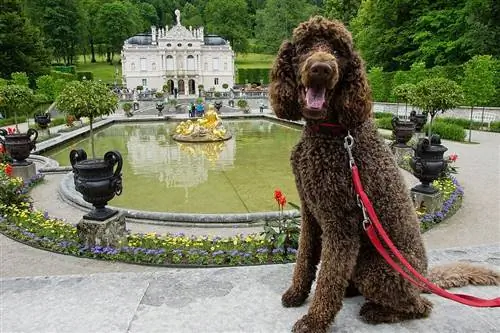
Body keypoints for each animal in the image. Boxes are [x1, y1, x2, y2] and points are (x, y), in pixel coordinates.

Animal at [270, 16, 500, 332]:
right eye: (304, 46)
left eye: (339, 50)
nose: (321, 68)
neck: (332, 132)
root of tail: (422, 278)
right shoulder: (310, 212)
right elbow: (304, 257)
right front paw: (296, 293)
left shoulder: (340, 224)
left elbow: (329, 277)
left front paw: (315, 319)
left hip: (374, 267)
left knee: (420, 306)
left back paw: (377, 311)